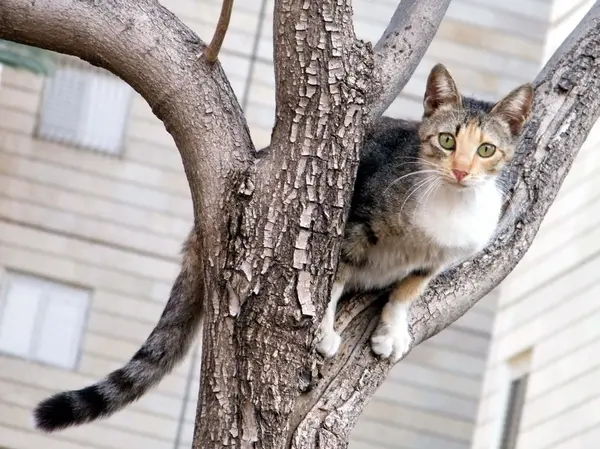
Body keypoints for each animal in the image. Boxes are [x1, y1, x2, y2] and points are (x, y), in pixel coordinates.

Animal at [316, 63, 532, 362]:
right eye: (447, 140)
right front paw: (323, 330)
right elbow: (334, 276)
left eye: (486, 149)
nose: (461, 171)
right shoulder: (356, 222)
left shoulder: (436, 259)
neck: (452, 200)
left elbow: (408, 292)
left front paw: (392, 333)